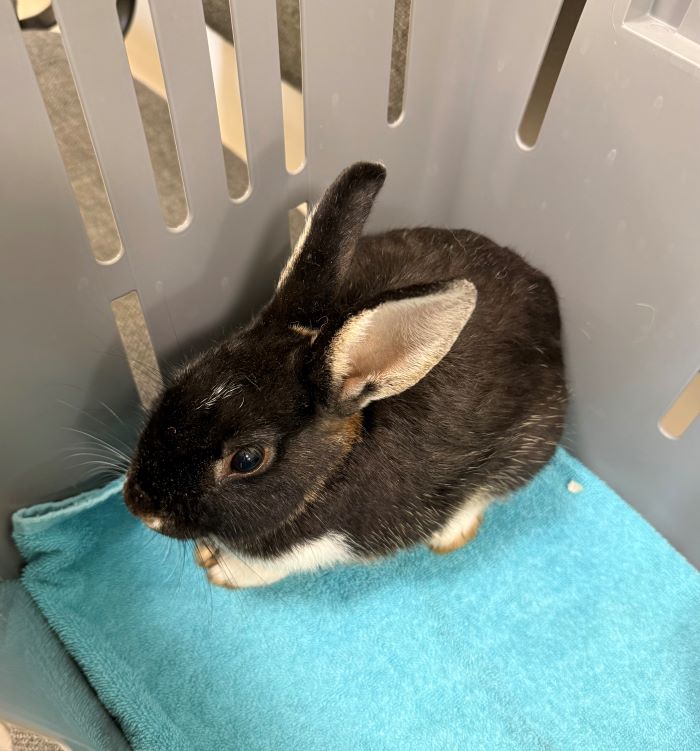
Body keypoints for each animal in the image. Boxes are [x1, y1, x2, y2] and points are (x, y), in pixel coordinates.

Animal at [124, 161, 566, 589]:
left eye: (247, 459)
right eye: (180, 379)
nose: (139, 506)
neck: (333, 466)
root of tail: (544, 291)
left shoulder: (325, 545)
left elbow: (270, 567)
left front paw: (219, 569)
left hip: (528, 444)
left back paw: (449, 534)